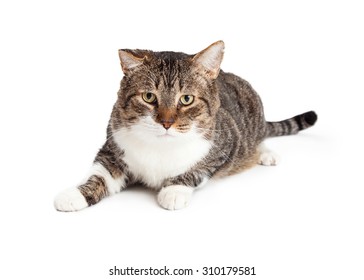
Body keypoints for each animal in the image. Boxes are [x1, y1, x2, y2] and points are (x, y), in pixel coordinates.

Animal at [53, 40, 316, 211]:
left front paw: (174, 190)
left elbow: (196, 170)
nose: (167, 122)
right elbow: (100, 174)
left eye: (186, 99)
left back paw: (265, 153)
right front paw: (75, 193)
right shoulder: (112, 148)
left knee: (260, 135)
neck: (160, 146)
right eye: (149, 97)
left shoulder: (222, 148)